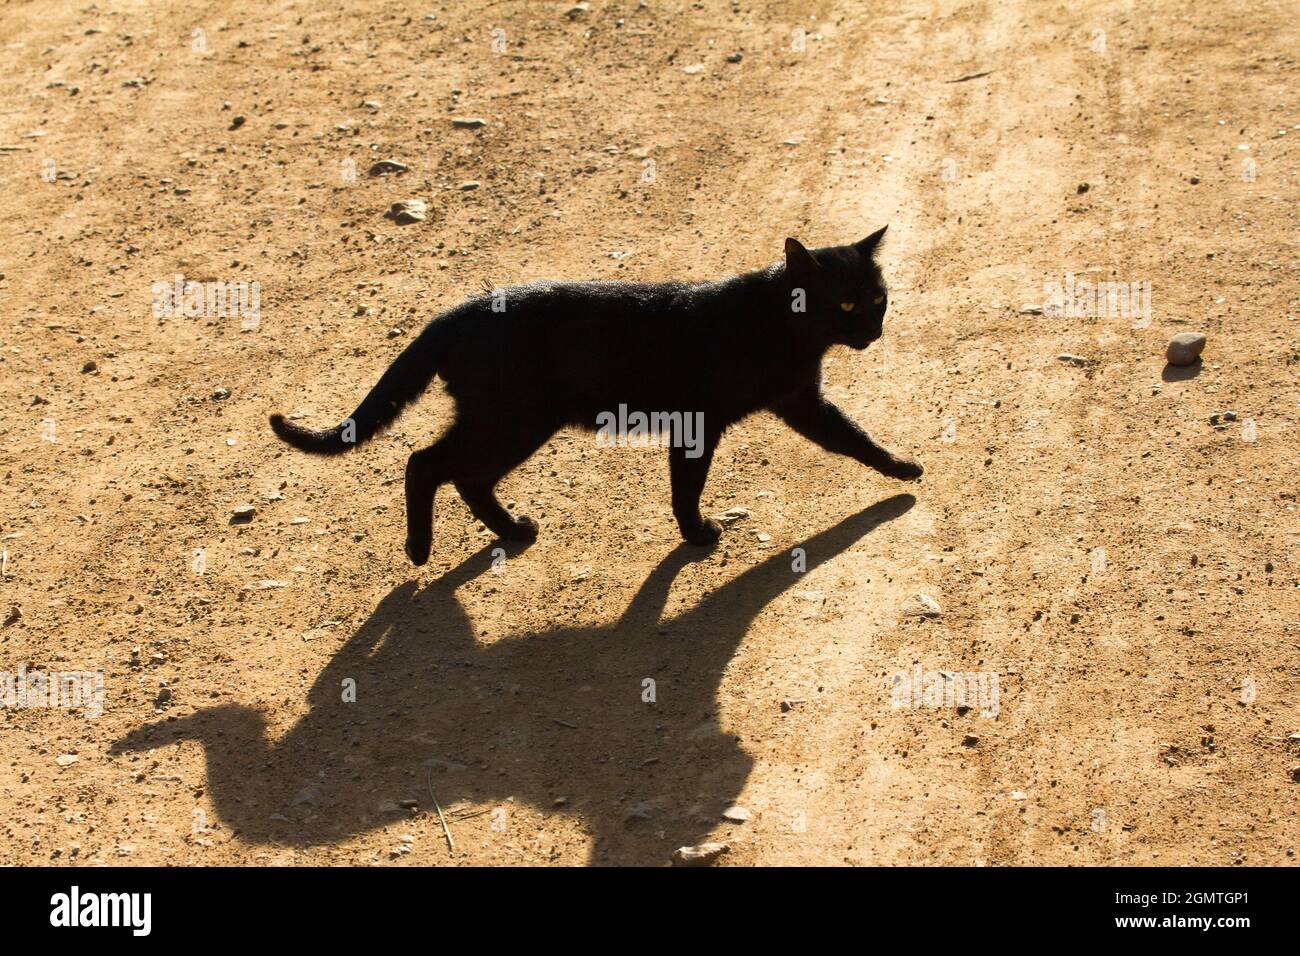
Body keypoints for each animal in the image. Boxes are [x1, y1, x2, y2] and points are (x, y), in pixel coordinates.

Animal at [271, 227, 925, 564]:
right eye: (846, 303)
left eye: (877, 299)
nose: (874, 331)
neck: (781, 326)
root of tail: (455, 313)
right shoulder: (701, 422)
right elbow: (687, 485)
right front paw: (696, 534)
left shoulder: (800, 402)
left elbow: (853, 437)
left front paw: (899, 468)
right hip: (512, 419)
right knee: (425, 463)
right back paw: (419, 547)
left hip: (513, 423)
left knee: (465, 476)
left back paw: (512, 531)